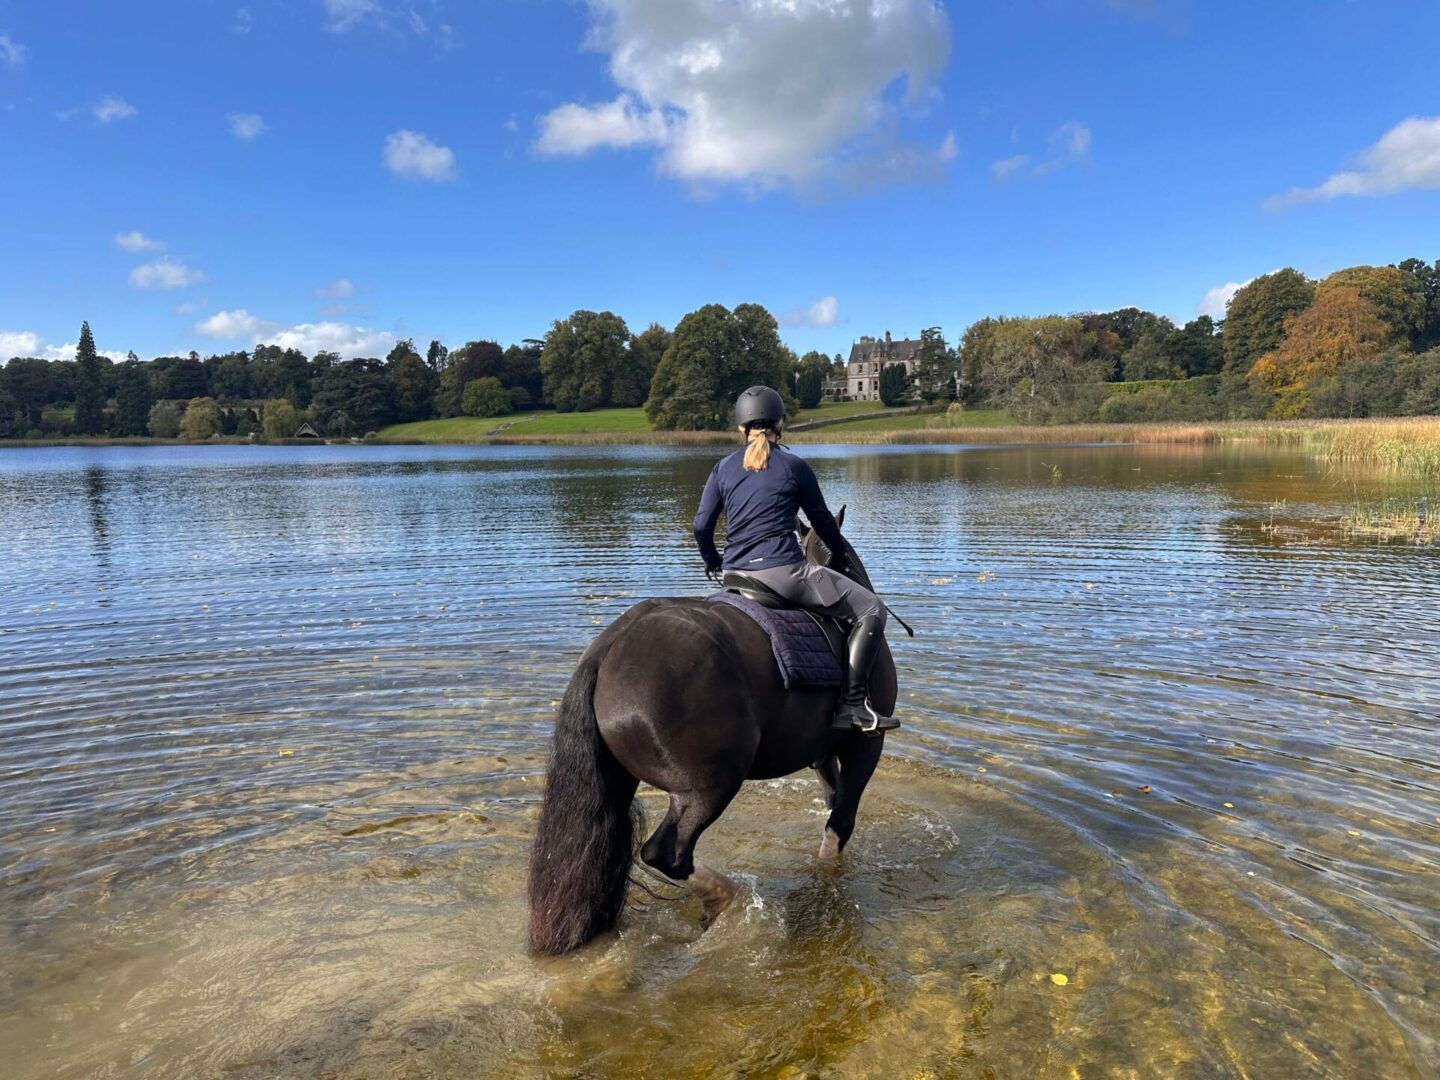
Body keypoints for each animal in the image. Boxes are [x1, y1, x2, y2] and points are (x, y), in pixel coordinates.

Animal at [526, 509, 898, 955]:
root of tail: (610, 646)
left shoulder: (822, 756)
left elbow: (831, 803)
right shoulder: (865, 748)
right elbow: (839, 823)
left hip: (619, 783)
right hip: (707, 788)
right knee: (666, 854)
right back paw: (725, 898)